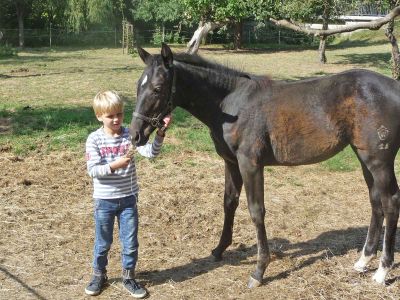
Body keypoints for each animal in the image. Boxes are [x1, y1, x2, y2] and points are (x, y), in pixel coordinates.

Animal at [130, 43, 400, 288]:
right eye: (137, 86)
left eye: (157, 88)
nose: (135, 135)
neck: (231, 104)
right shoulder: (231, 162)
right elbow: (229, 203)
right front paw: (219, 249)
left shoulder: (250, 164)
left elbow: (256, 211)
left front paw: (259, 271)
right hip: (364, 157)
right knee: (375, 201)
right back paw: (363, 260)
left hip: (380, 162)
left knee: (390, 203)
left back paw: (382, 271)